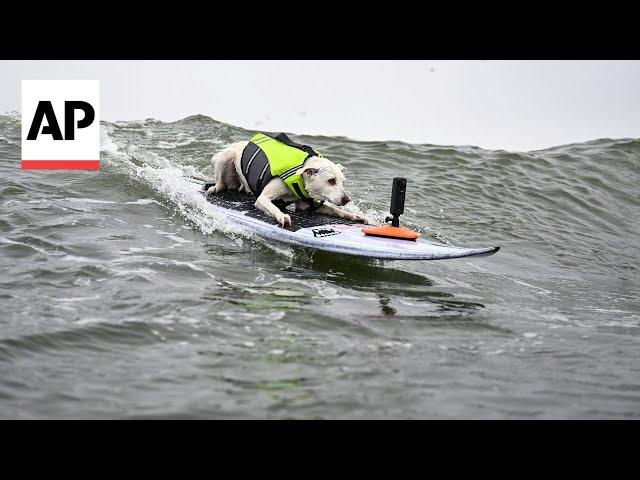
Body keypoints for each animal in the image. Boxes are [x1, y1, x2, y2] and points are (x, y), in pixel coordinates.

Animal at [209, 133, 370, 227]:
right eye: (331, 181)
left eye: (343, 182)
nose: (346, 199)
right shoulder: (262, 199)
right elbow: (273, 207)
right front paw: (282, 216)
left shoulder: (306, 205)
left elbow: (335, 210)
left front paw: (355, 216)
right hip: (224, 158)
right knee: (221, 183)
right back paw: (214, 188)